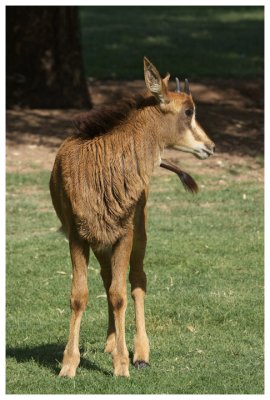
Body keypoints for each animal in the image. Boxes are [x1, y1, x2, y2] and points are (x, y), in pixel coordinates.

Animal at [50, 57, 215, 378]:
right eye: (188, 111)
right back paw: (111, 342)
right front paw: (69, 364)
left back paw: (139, 352)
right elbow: (80, 295)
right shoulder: (78, 236)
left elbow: (120, 294)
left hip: (138, 233)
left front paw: (122, 365)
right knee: (107, 279)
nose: (210, 146)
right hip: (101, 242)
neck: (100, 165)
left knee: (136, 281)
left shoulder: (124, 234)